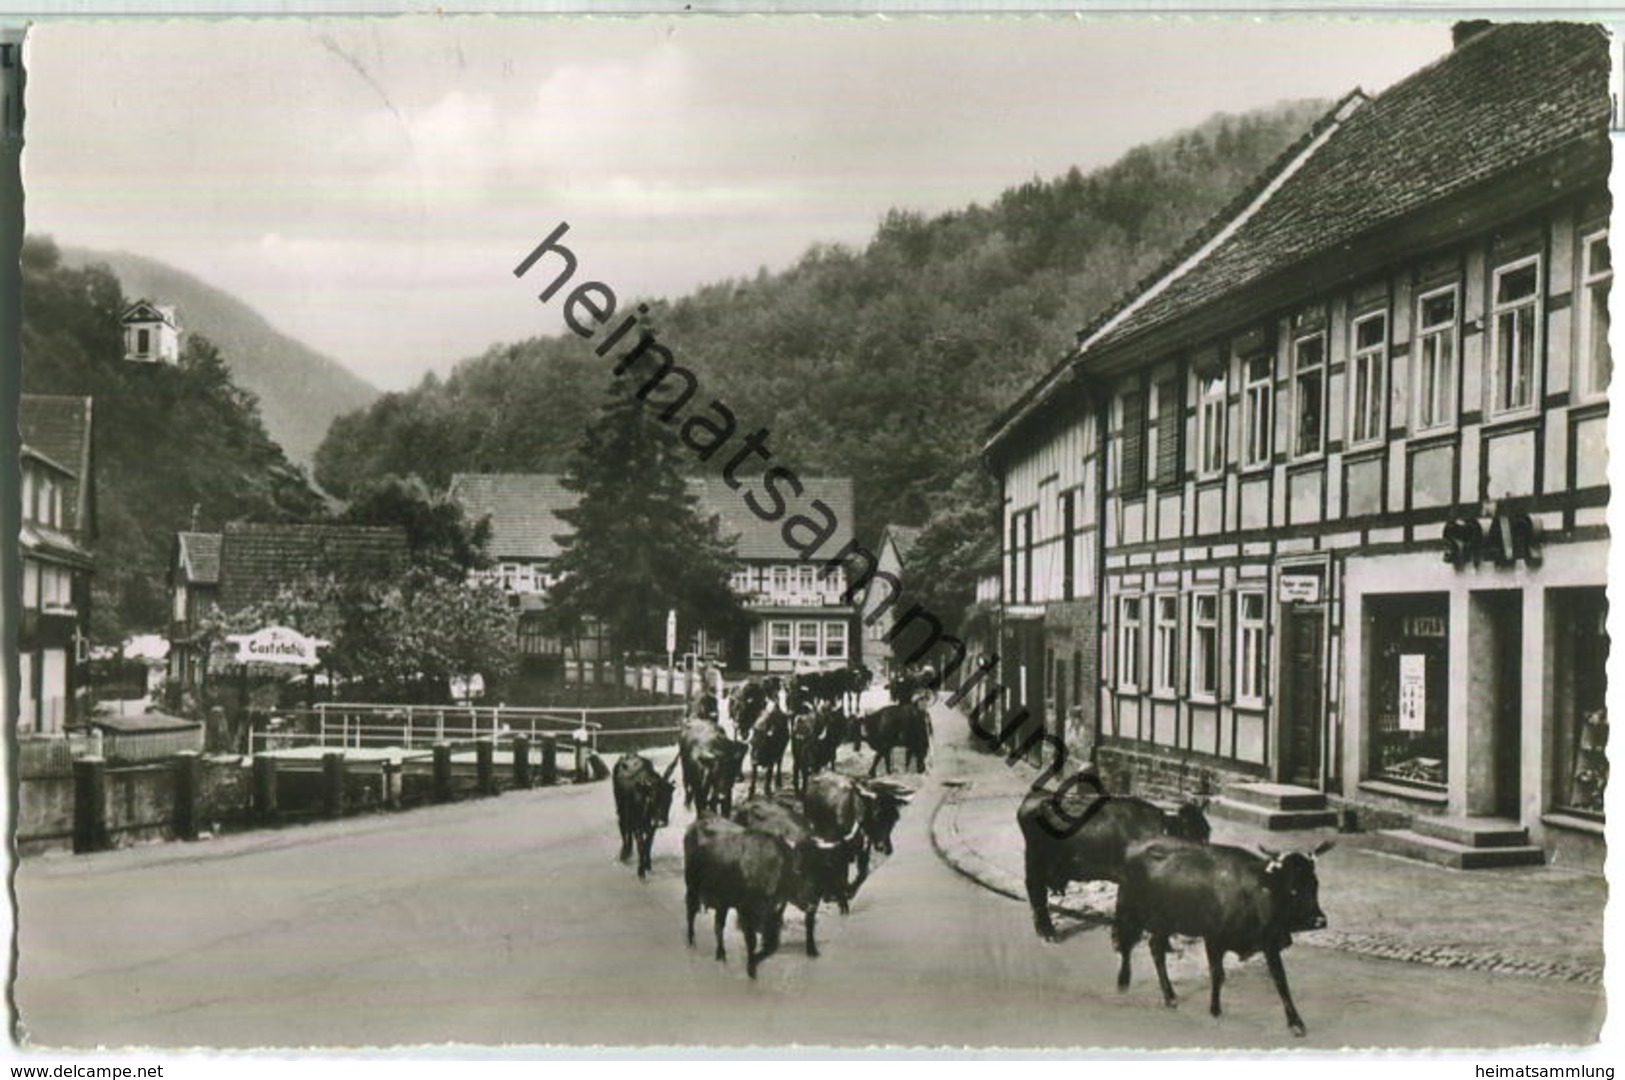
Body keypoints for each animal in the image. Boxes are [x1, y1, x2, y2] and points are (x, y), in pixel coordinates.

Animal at [614, 753, 679, 883]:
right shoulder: (637, 825)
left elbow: (648, 843)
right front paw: (641, 871)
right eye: (653, 797)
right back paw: (624, 853)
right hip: (621, 809)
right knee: (623, 828)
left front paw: (647, 864)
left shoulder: (652, 827)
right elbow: (641, 845)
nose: (662, 822)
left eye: (669, 799)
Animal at [682, 818, 819, 974]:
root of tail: (696, 825)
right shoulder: (746, 910)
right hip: (692, 888)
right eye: (797, 871)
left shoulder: (771, 912)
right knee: (691, 914)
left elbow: (770, 942)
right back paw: (692, 943)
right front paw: (751, 968)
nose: (813, 903)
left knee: (718, 926)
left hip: (722, 902)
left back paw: (720, 954)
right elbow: (752, 940)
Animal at [802, 766, 916, 909]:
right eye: (876, 813)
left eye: (894, 819)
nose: (886, 848)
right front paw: (839, 897)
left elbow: (862, 873)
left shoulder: (863, 850)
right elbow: (841, 875)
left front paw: (849, 892)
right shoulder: (839, 852)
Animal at [1014, 776, 1209, 941]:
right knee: (1036, 890)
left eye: (1206, 833)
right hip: (1035, 859)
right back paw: (1047, 932)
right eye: (1190, 834)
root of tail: (1038, 796)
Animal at [1118, 838, 1332, 1032]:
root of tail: (1136, 846)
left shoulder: (1269, 942)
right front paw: (1215, 1009)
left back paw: (1170, 997)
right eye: (1292, 889)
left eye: (1315, 884)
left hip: (1166, 922)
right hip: (1130, 909)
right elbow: (1217, 974)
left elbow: (1280, 980)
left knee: (1155, 947)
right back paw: (1123, 981)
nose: (1319, 920)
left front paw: (1295, 1022)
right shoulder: (1213, 939)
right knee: (1126, 942)